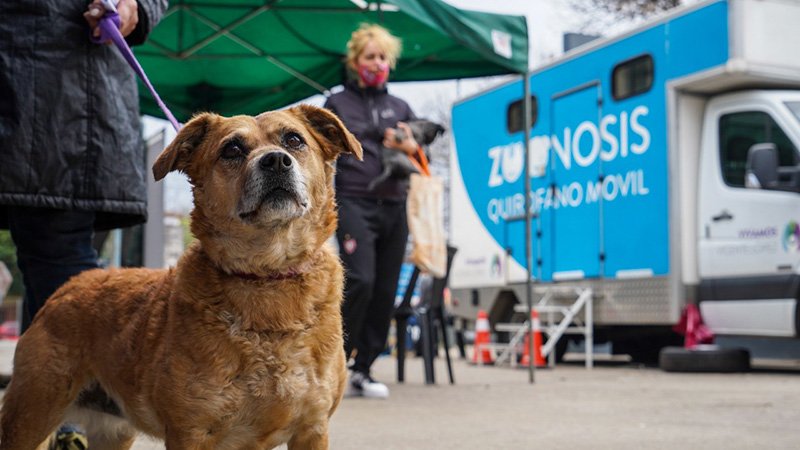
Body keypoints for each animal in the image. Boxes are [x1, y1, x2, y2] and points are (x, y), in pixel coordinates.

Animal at [0, 104, 360, 450]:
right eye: (232, 149)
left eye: (294, 140)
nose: (275, 161)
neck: (267, 278)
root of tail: (70, 286)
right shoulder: (190, 433)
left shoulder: (312, 430)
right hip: (29, 416)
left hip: (112, 432)